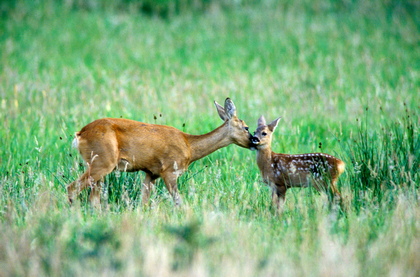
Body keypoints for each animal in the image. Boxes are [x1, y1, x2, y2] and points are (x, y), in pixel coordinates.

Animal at [67, 98, 251, 206]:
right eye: (246, 127)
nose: (254, 140)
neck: (189, 146)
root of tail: (80, 134)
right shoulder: (169, 170)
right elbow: (178, 201)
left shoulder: (151, 172)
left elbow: (143, 201)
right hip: (103, 161)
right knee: (73, 188)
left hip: (97, 164)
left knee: (93, 197)